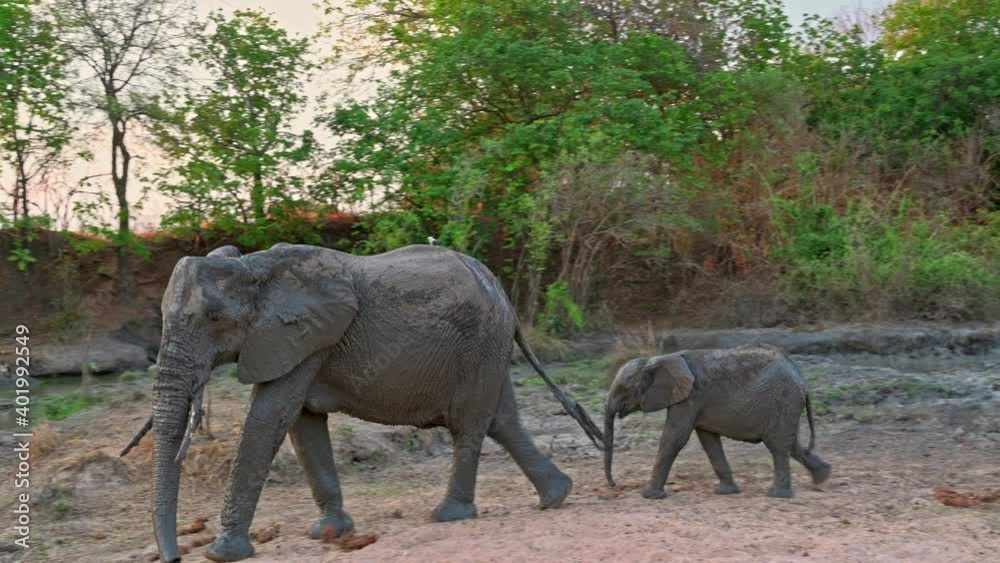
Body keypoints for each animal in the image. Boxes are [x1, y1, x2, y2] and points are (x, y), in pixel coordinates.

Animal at [127, 245, 608, 563]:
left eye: (214, 319)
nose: (173, 557)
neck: (254, 268)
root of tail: (502, 293)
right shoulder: (299, 342)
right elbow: (302, 424)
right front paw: (328, 532)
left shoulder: (303, 337)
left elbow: (269, 418)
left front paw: (222, 552)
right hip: (487, 349)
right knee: (502, 420)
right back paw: (556, 496)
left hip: (480, 342)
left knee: (471, 424)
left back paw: (450, 515)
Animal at [604, 346, 832, 500]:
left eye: (624, 388)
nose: (613, 484)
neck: (657, 359)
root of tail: (802, 381)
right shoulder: (695, 402)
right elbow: (709, 441)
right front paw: (726, 492)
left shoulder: (690, 398)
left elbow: (674, 439)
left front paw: (649, 495)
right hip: (785, 407)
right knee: (790, 443)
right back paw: (822, 478)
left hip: (783, 401)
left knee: (777, 445)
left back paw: (778, 495)